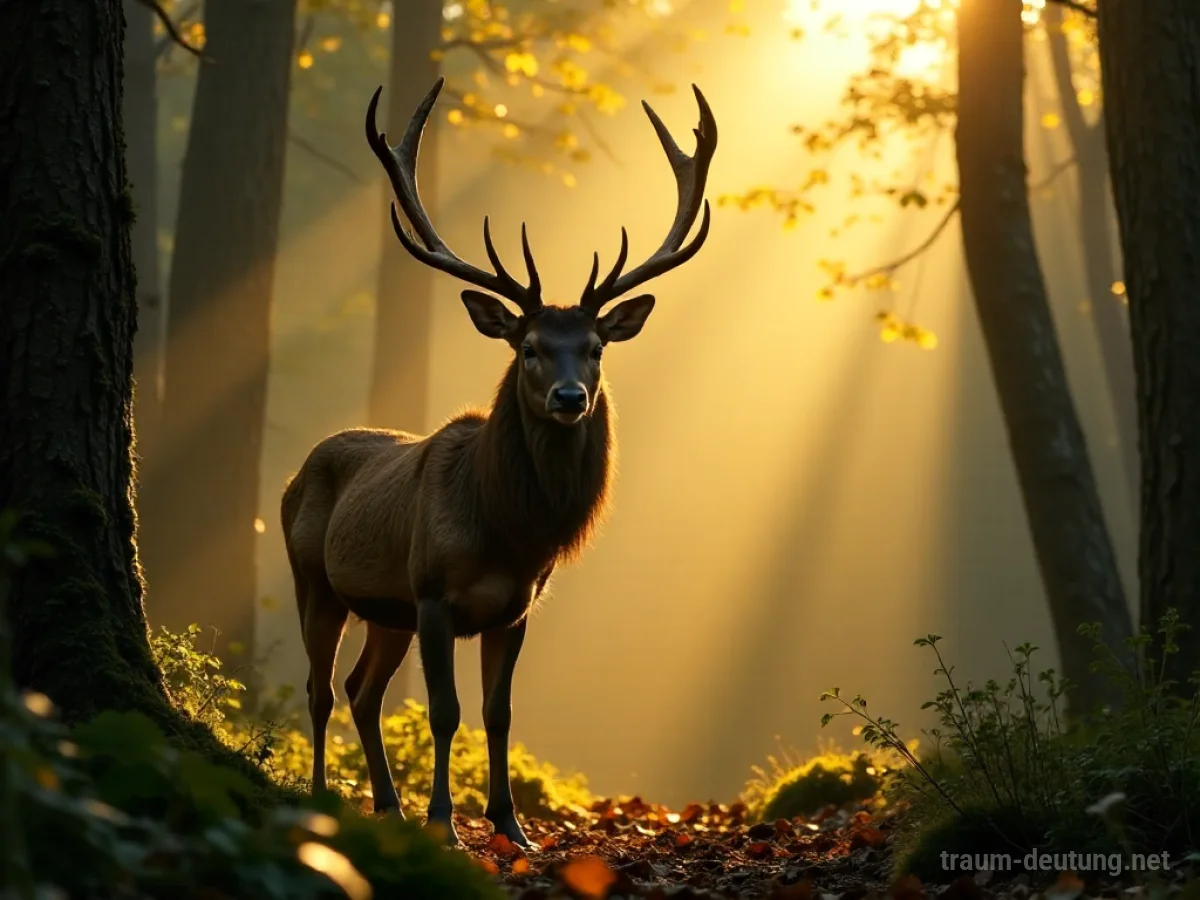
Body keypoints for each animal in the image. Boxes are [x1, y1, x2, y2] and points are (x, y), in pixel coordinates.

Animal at [280, 76, 716, 848]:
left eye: (595, 348)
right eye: (530, 346)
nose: (572, 397)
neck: (509, 533)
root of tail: (294, 474)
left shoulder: (514, 609)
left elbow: (499, 712)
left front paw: (512, 826)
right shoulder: (431, 592)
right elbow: (445, 711)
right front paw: (446, 824)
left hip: (385, 610)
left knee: (363, 691)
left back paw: (388, 806)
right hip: (316, 579)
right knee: (322, 688)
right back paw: (327, 798)